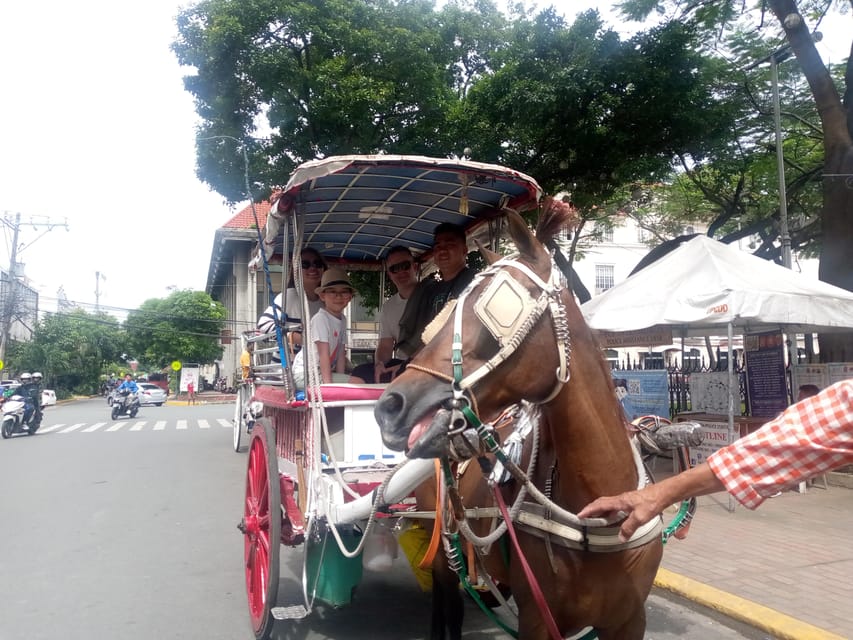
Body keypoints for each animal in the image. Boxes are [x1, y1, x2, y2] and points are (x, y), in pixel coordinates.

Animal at [376, 206, 664, 640]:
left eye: (496, 308)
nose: (390, 405)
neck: (597, 512)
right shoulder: (536, 619)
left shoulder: (630, 620)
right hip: (444, 545)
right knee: (448, 603)